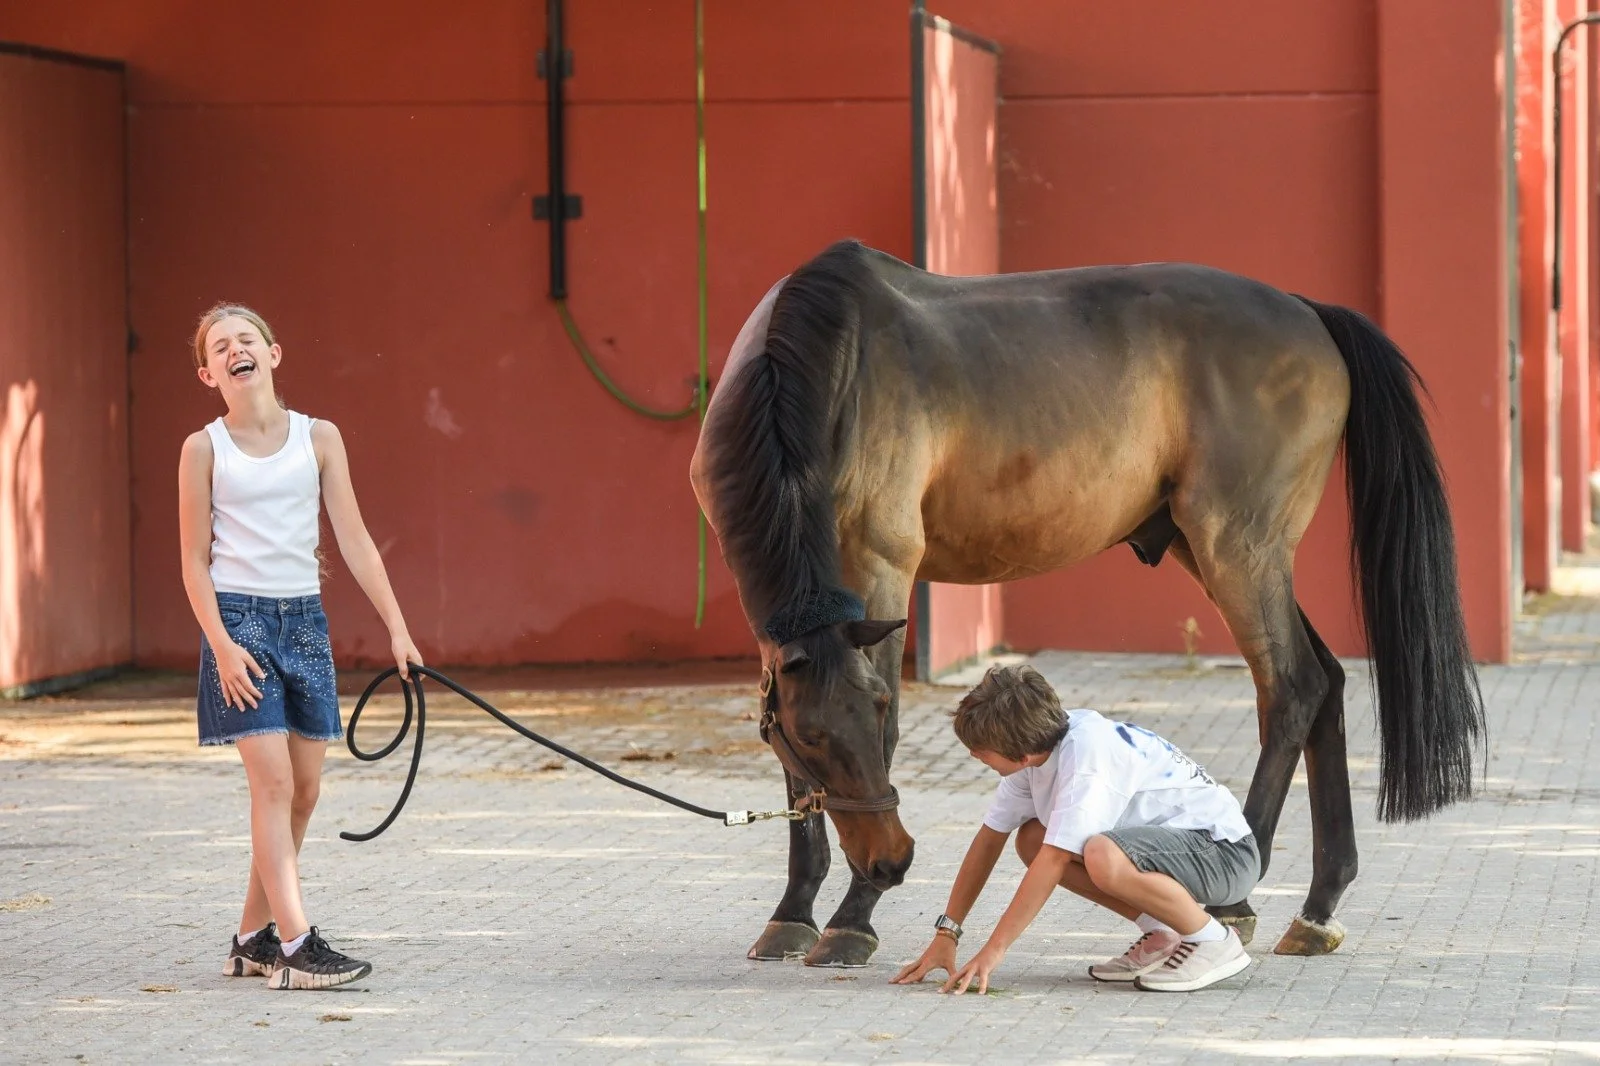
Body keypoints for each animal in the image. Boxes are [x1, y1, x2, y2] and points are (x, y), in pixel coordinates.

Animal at [688, 238, 1485, 968]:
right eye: (811, 734)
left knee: (1293, 685)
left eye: (879, 712)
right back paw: (1317, 906)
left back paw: (1235, 898)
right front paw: (795, 911)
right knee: (1328, 682)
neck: (833, 367)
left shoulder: (883, 569)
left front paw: (854, 918)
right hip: (1220, 551)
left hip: (1238, 548)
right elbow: (795, 775)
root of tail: (1308, 313)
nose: (892, 861)